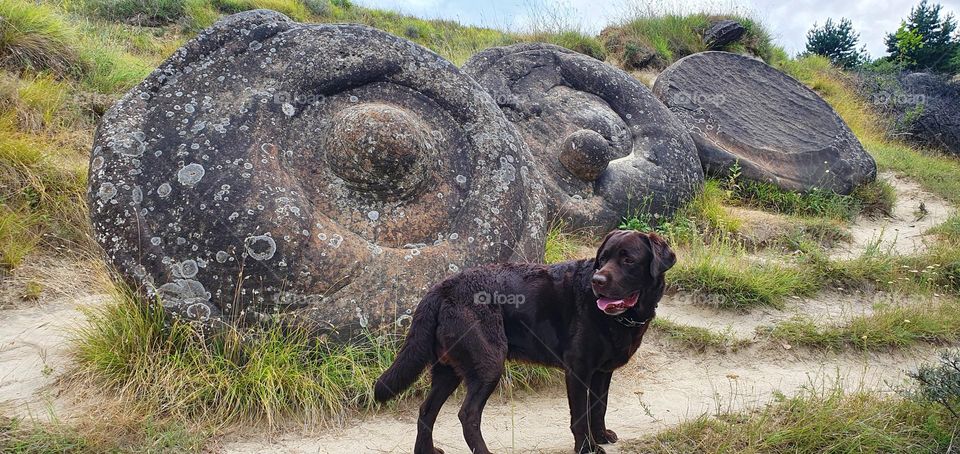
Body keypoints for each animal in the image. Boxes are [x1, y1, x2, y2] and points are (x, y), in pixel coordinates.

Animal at [374, 231, 676, 454]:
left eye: (628, 260)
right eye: (602, 260)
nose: (597, 280)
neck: (621, 318)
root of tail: (442, 287)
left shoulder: (602, 372)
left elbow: (598, 407)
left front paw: (601, 436)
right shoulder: (578, 371)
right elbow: (580, 416)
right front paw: (587, 448)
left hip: (449, 369)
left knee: (427, 411)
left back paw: (426, 451)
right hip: (488, 365)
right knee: (468, 416)